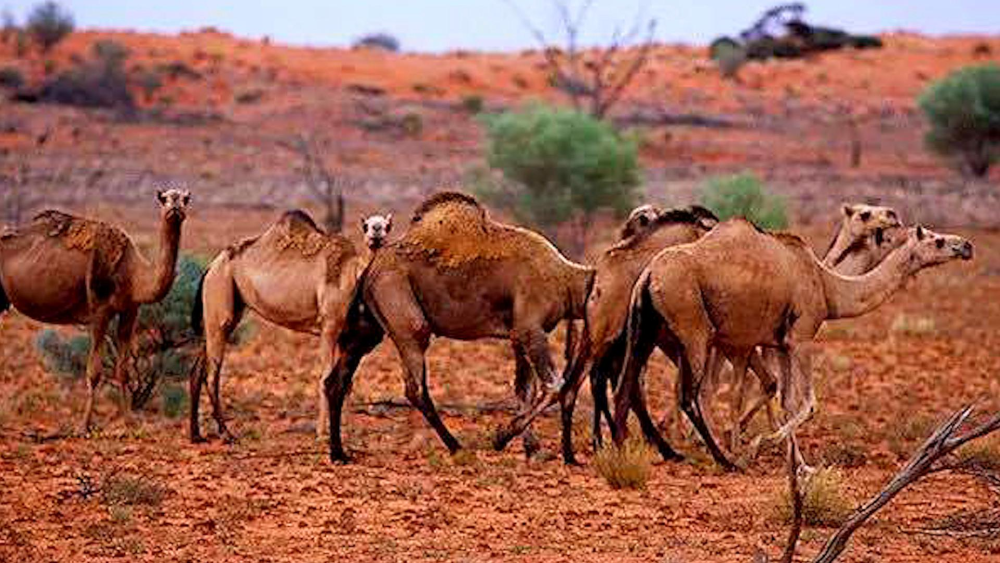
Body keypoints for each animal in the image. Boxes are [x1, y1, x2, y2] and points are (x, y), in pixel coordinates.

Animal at [0, 189, 191, 432]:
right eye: (164, 198)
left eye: (186, 199)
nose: (175, 205)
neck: (135, 276)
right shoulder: (100, 311)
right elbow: (94, 372)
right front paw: (84, 427)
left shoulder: (130, 311)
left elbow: (123, 370)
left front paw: (129, 421)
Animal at [188, 209, 390, 442]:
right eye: (366, 225)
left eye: (387, 225)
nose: (376, 232)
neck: (351, 275)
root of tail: (210, 267)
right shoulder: (329, 325)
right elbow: (326, 377)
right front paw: (322, 433)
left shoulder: (344, 334)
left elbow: (346, 382)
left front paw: (346, 431)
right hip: (220, 297)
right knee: (212, 372)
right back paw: (226, 433)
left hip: (219, 310)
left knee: (197, 370)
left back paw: (196, 435)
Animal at [324, 192, 596, 460]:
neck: (566, 280)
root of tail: (370, 269)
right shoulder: (531, 329)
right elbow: (554, 386)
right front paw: (500, 438)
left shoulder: (518, 334)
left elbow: (525, 390)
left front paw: (532, 449)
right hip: (405, 315)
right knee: (415, 387)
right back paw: (455, 446)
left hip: (368, 327)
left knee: (336, 381)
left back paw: (339, 453)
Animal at [612, 220, 972, 472]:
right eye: (937, 239)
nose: (966, 245)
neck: (828, 286)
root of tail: (649, 274)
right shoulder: (801, 337)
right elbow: (809, 403)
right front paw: (756, 446)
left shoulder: (782, 343)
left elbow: (787, 402)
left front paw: (800, 465)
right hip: (693, 326)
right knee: (690, 395)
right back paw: (724, 460)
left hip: (645, 329)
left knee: (627, 385)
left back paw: (624, 447)